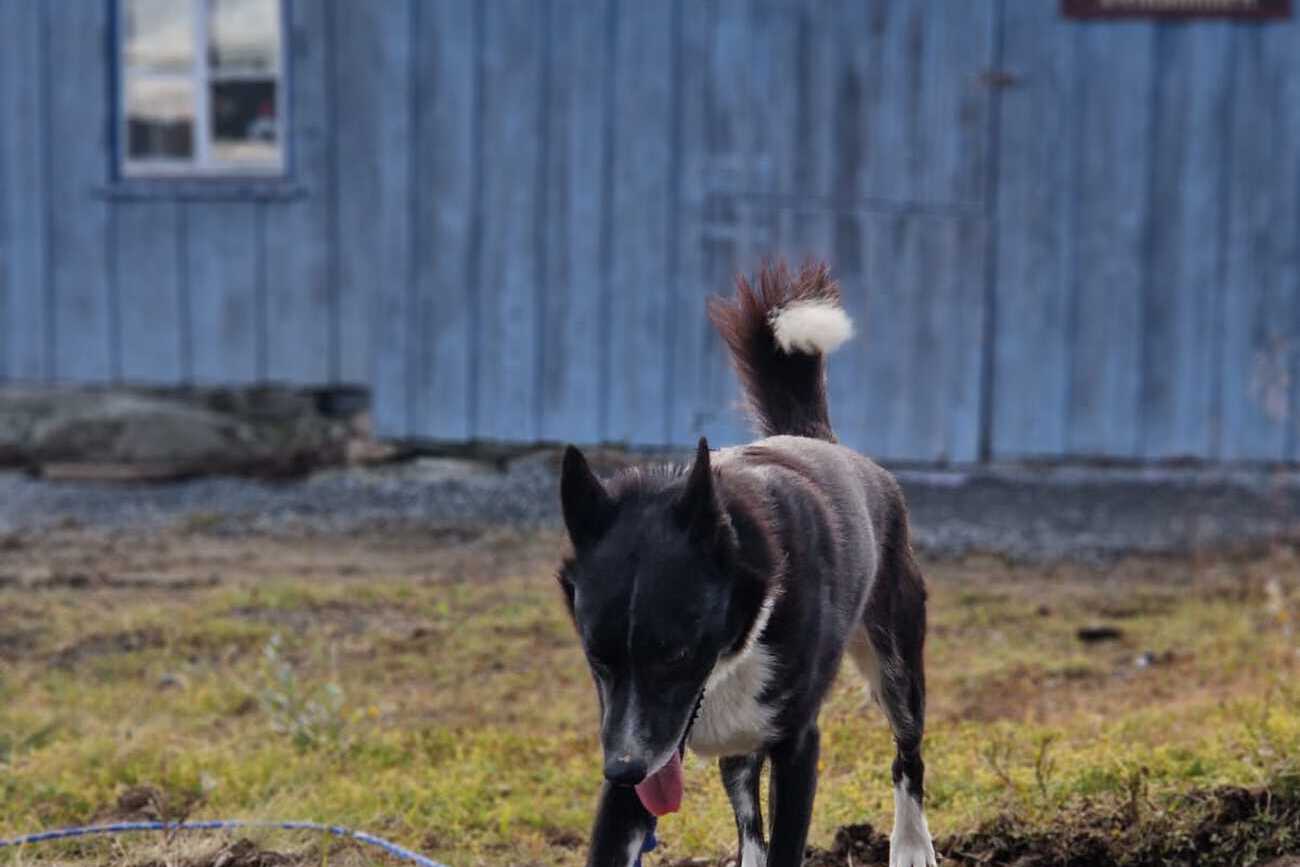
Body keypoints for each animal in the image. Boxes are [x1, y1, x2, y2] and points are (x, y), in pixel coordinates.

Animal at [559, 262, 935, 867]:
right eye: (597, 657)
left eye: (676, 654)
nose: (622, 769)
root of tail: (817, 438)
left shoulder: (797, 746)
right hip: (732, 745)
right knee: (745, 806)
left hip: (897, 662)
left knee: (908, 752)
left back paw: (911, 844)